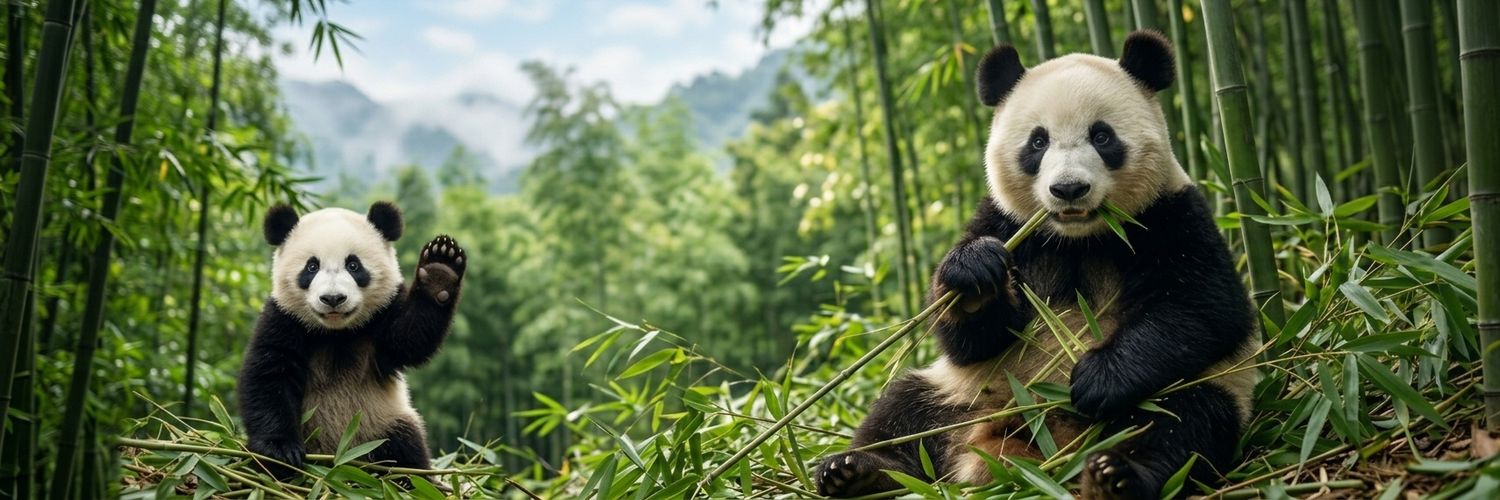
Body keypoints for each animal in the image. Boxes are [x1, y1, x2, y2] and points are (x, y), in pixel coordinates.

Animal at [238, 201, 467, 478]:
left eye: (354, 265)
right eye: (311, 267)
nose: (333, 298)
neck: (337, 333)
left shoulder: (381, 317)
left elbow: (410, 339)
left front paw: (439, 271)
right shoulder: (284, 320)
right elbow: (269, 374)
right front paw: (280, 452)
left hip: (382, 424)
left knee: (405, 449)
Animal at [814, 31, 1260, 499]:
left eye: (1102, 137)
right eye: (1038, 142)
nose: (1068, 189)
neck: (1079, 238)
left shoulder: (1170, 215)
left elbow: (1203, 308)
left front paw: (1096, 379)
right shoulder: (1006, 223)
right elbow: (968, 337)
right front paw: (975, 278)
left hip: (1197, 387)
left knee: (1181, 423)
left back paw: (1115, 476)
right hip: (963, 392)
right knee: (902, 414)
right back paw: (857, 471)